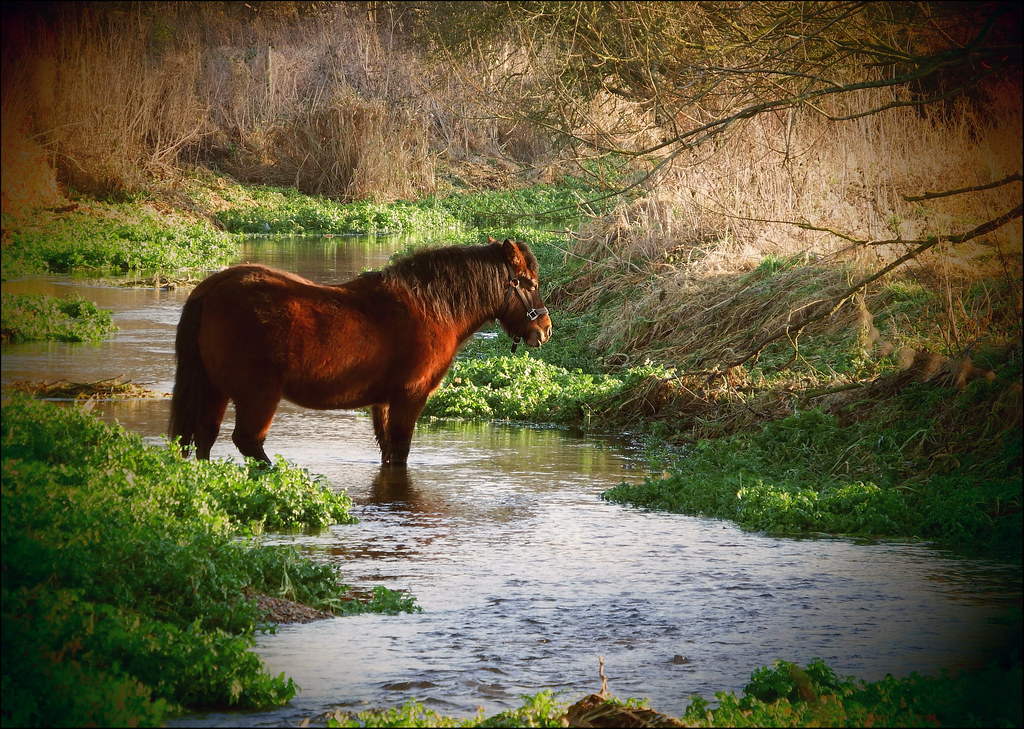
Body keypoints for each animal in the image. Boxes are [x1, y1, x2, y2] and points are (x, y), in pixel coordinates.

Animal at [169, 237, 552, 466]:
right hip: (258, 396)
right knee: (247, 441)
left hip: (215, 390)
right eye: (529, 283)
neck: (430, 307)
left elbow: (387, 452)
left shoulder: (381, 404)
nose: (545, 329)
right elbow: (400, 452)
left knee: (205, 439)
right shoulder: (410, 398)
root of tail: (211, 288)